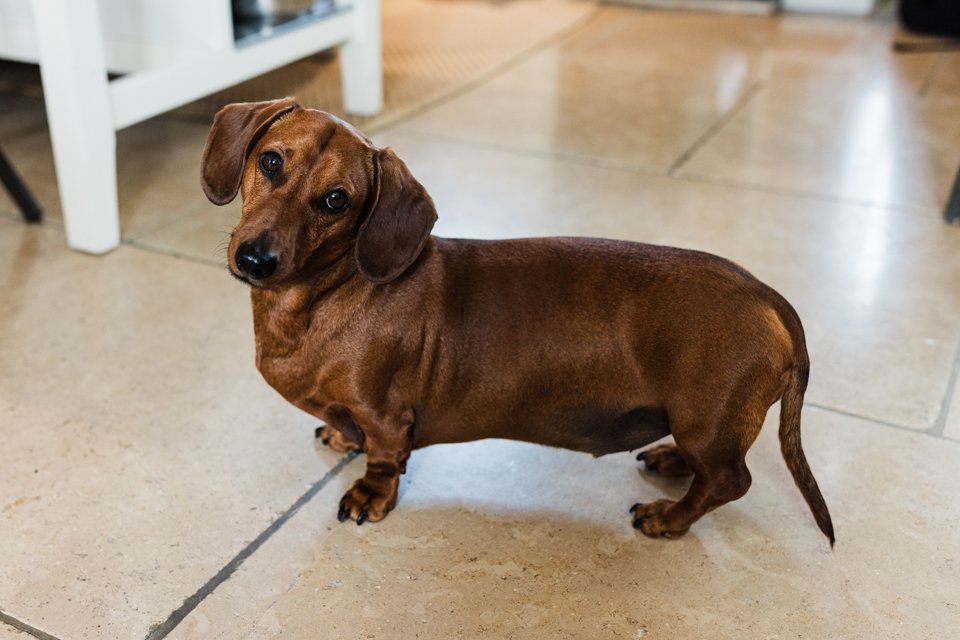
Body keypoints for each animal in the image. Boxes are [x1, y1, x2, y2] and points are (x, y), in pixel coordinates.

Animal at [201, 97, 832, 544]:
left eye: (337, 200)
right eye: (271, 161)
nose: (254, 259)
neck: (325, 297)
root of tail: (766, 295)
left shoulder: (387, 416)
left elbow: (383, 459)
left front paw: (369, 495)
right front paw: (338, 433)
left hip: (708, 421)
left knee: (729, 481)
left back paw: (667, 519)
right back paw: (671, 460)